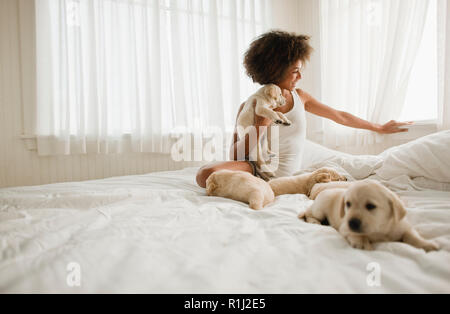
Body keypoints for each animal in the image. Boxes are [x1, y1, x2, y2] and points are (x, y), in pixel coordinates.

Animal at [298, 180, 440, 251]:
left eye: (370, 206)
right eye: (348, 204)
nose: (352, 222)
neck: (380, 228)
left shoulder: (404, 226)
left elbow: (412, 235)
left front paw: (426, 244)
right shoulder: (345, 227)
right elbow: (355, 233)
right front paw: (362, 243)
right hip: (319, 209)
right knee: (309, 212)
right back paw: (314, 221)